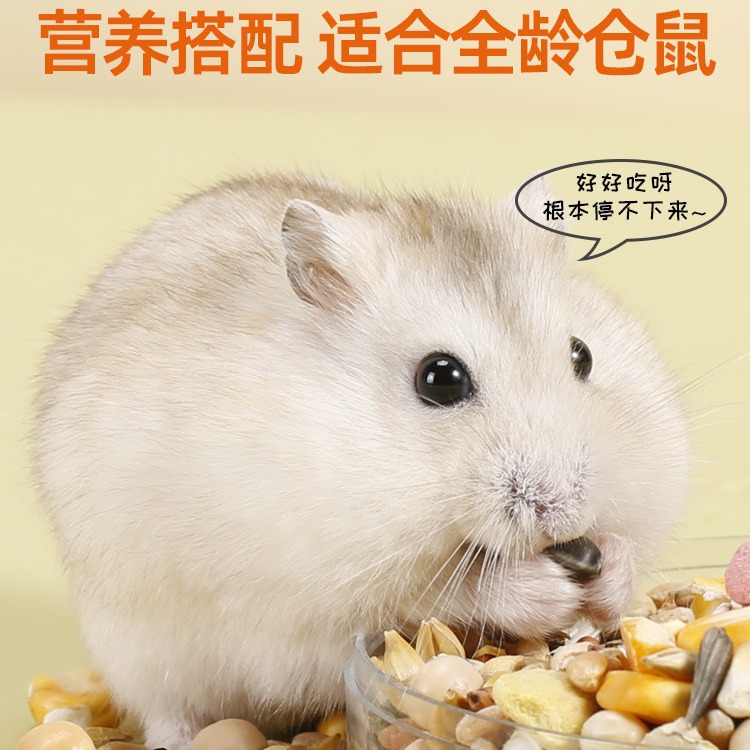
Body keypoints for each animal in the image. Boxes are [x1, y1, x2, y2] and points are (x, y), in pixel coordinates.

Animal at [33, 173, 690, 749]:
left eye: (582, 355)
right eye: (439, 378)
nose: (565, 515)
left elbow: (627, 543)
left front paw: (608, 577)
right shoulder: (311, 582)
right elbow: (442, 593)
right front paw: (546, 590)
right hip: (138, 652)